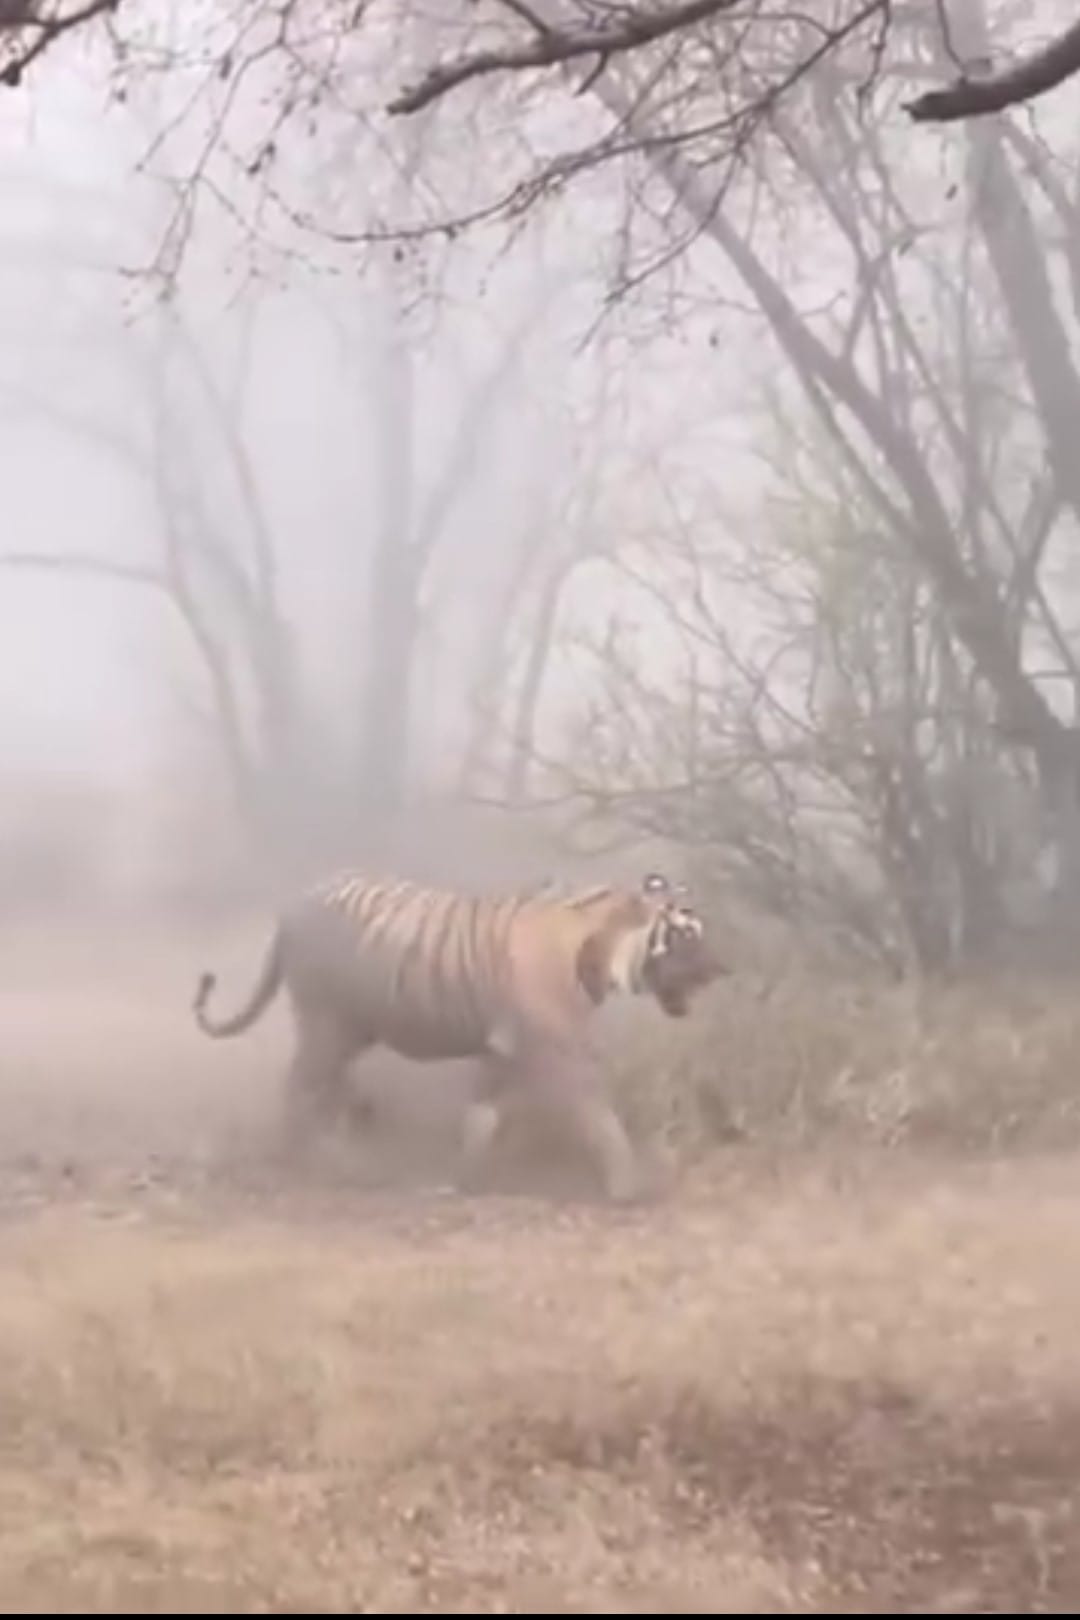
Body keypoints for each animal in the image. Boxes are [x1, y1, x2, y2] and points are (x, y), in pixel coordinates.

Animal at [192, 868, 724, 1203]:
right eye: (687, 934)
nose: (724, 968)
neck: (600, 947)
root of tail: (290, 910)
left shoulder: (501, 1051)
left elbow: (481, 1118)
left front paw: (462, 1179)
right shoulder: (559, 1050)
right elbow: (600, 1118)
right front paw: (628, 1187)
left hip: (351, 1027)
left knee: (327, 1082)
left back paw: (358, 1125)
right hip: (327, 1021)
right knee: (300, 1085)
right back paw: (314, 1159)